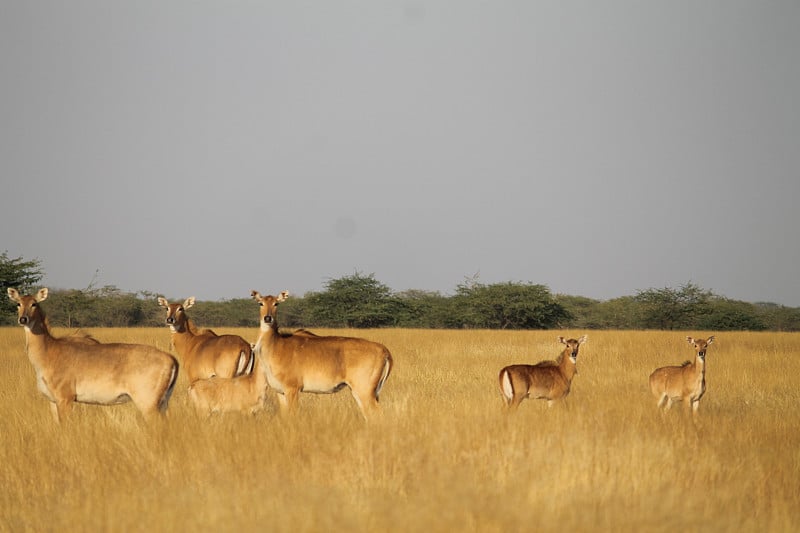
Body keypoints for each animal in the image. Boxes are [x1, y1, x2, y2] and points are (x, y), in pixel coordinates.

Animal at [7, 288, 177, 422]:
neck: (49, 351)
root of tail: (171, 359)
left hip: (148, 405)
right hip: (162, 404)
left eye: (34, 303)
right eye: (18, 303)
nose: (23, 319)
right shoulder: (53, 402)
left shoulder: (65, 399)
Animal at [252, 290, 392, 420]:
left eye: (276, 303)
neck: (276, 344)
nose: (268, 318)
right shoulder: (280, 392)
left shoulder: (293, 389)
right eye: (260, 303)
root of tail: (383, 350)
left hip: (364, 391)